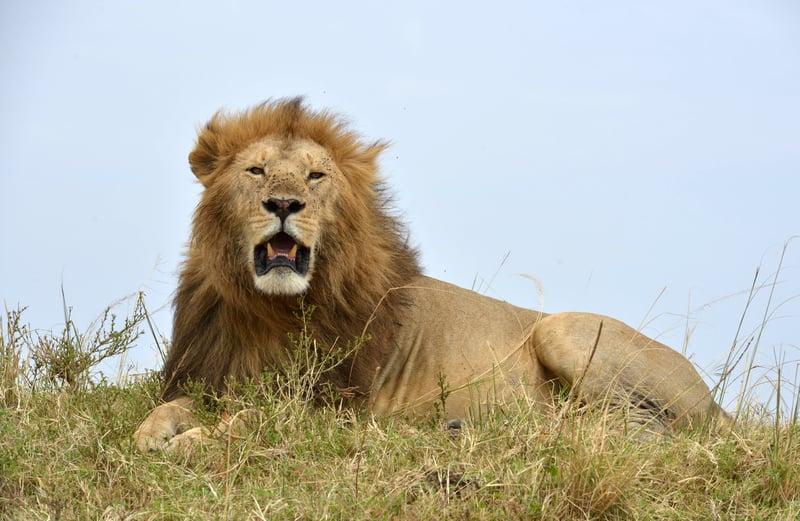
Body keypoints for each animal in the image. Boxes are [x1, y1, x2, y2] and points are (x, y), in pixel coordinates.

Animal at [136, 98, 732, 450]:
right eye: (256, 170)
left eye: (315, 175)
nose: (284, 204)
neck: (270, 308)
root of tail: (718, 405)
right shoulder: (213, 378)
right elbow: (166, 411)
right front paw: (153, 436)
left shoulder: (332, 407)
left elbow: (249, 422)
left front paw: (189, 444)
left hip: (562, 330)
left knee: (641, 429)